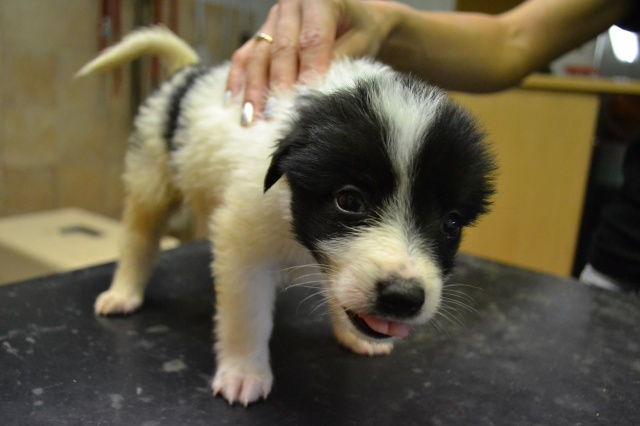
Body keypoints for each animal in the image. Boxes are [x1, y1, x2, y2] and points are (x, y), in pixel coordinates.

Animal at [77, 26, 495, 406]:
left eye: (451, 223)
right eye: (350, 200)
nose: (403, 298)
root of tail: (189, 74)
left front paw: (350, 333)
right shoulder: (243, 246)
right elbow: (247, 317)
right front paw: (244, 373)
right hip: (151, 177)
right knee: (139, 237)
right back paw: (123, 292)